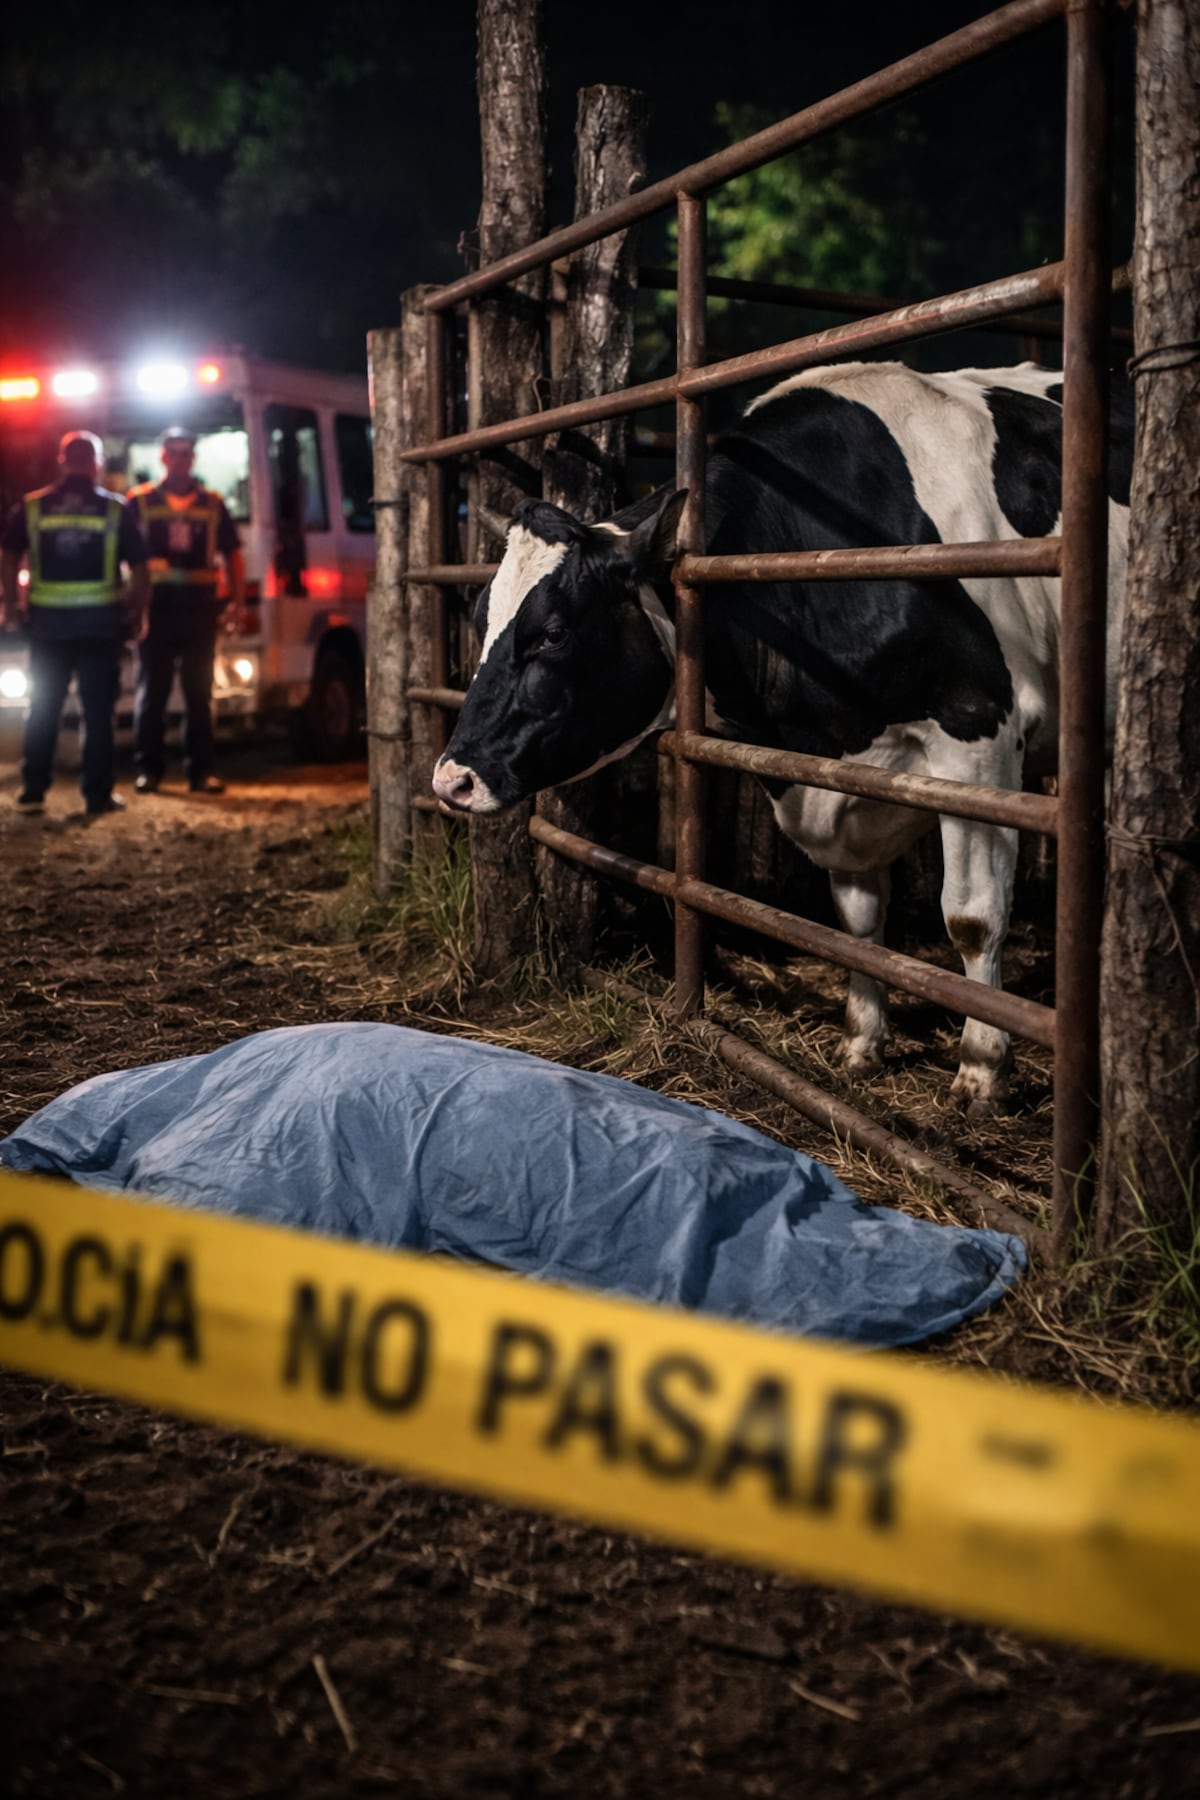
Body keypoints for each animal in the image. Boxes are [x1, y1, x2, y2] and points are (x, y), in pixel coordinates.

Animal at [433, 361, 1133, 1114]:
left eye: (553, 633)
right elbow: (857, 918)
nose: (452, 779)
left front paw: (981, 1068)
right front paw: (861, 1044)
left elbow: (972, 918)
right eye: (480, 617)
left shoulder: (978, 740)